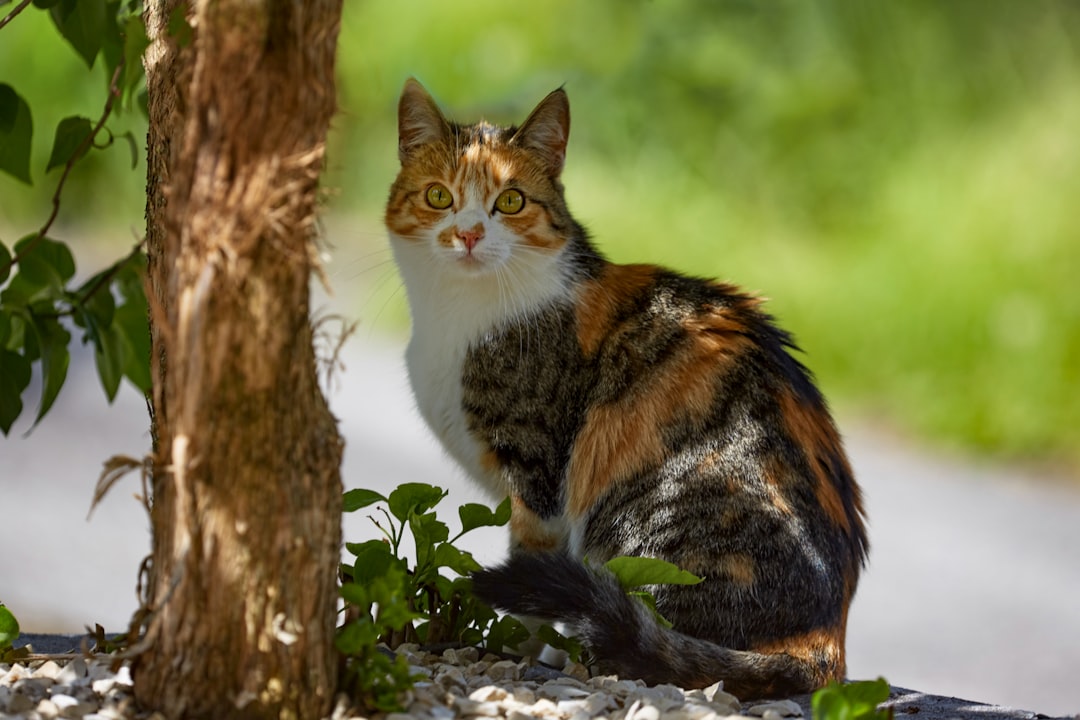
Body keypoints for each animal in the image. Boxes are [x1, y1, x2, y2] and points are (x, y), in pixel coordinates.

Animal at [384, 77, 864, 699]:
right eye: (439, 197)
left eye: (510, 202)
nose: (467, 234)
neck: (457, 315)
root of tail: (826, 644)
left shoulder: (538, 485)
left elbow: (532, 585)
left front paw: (515, 653)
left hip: (639, 530)